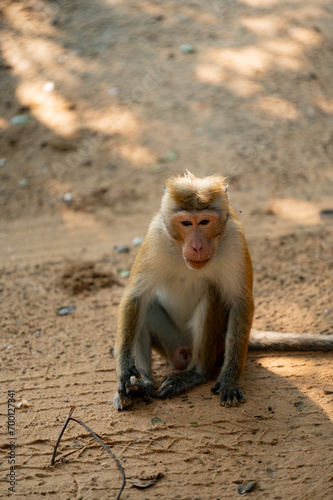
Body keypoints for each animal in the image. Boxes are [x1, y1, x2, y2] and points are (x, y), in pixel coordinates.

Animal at [113, 172, 330, 410]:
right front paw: (125, 368)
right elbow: (136, 297)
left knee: (213, 294)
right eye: (186, 223)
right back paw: (143, 382)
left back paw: (196, 373)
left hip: (214, 345)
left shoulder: (235, 240)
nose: (197, 246)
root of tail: (183, 353)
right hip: (170, 345)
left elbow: (240, 302)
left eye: (204, 222)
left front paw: (229, 379)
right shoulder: (155, 237)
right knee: (147, 304)